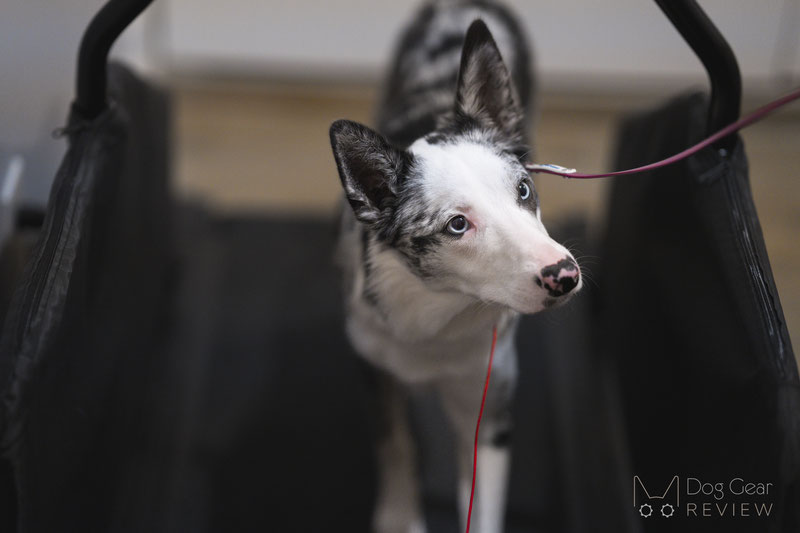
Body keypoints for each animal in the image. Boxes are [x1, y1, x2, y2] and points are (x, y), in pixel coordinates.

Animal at [326, 2, 580, 528]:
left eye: (523, 189)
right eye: (457, 225)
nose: (564, 275)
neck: (437, 311)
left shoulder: (488, 407)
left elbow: (481, 504)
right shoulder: (374, 366)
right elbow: (396, 443)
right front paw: (397, 516)